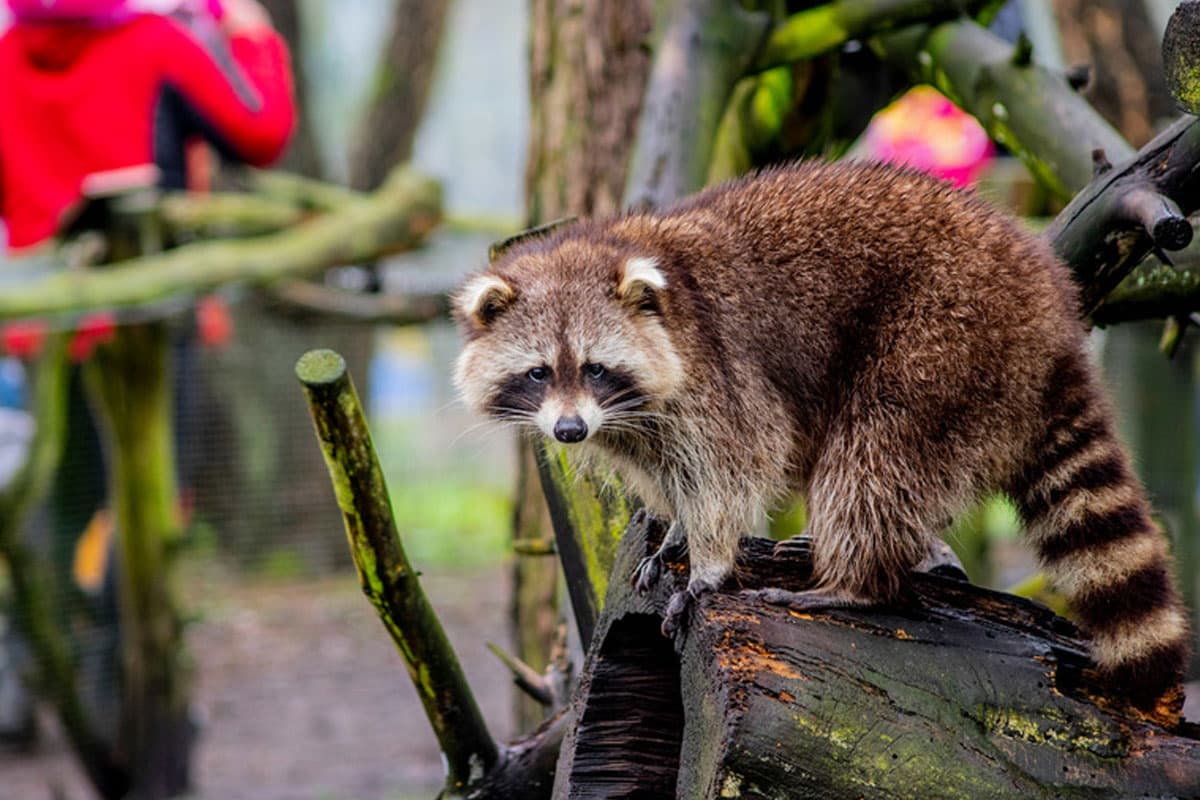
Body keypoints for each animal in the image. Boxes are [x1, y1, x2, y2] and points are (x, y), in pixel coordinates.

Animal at [451, 159, 1190, 710]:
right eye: (539, 373)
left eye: (596, 369)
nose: (569, 429)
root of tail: (1048, 309)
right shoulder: (636, 424)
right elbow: (669, 471)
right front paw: (677, 528)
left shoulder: (716, 370)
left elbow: (734, 464)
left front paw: (710, 557)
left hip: (944, 332)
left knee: (874, 455)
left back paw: (858, 580)